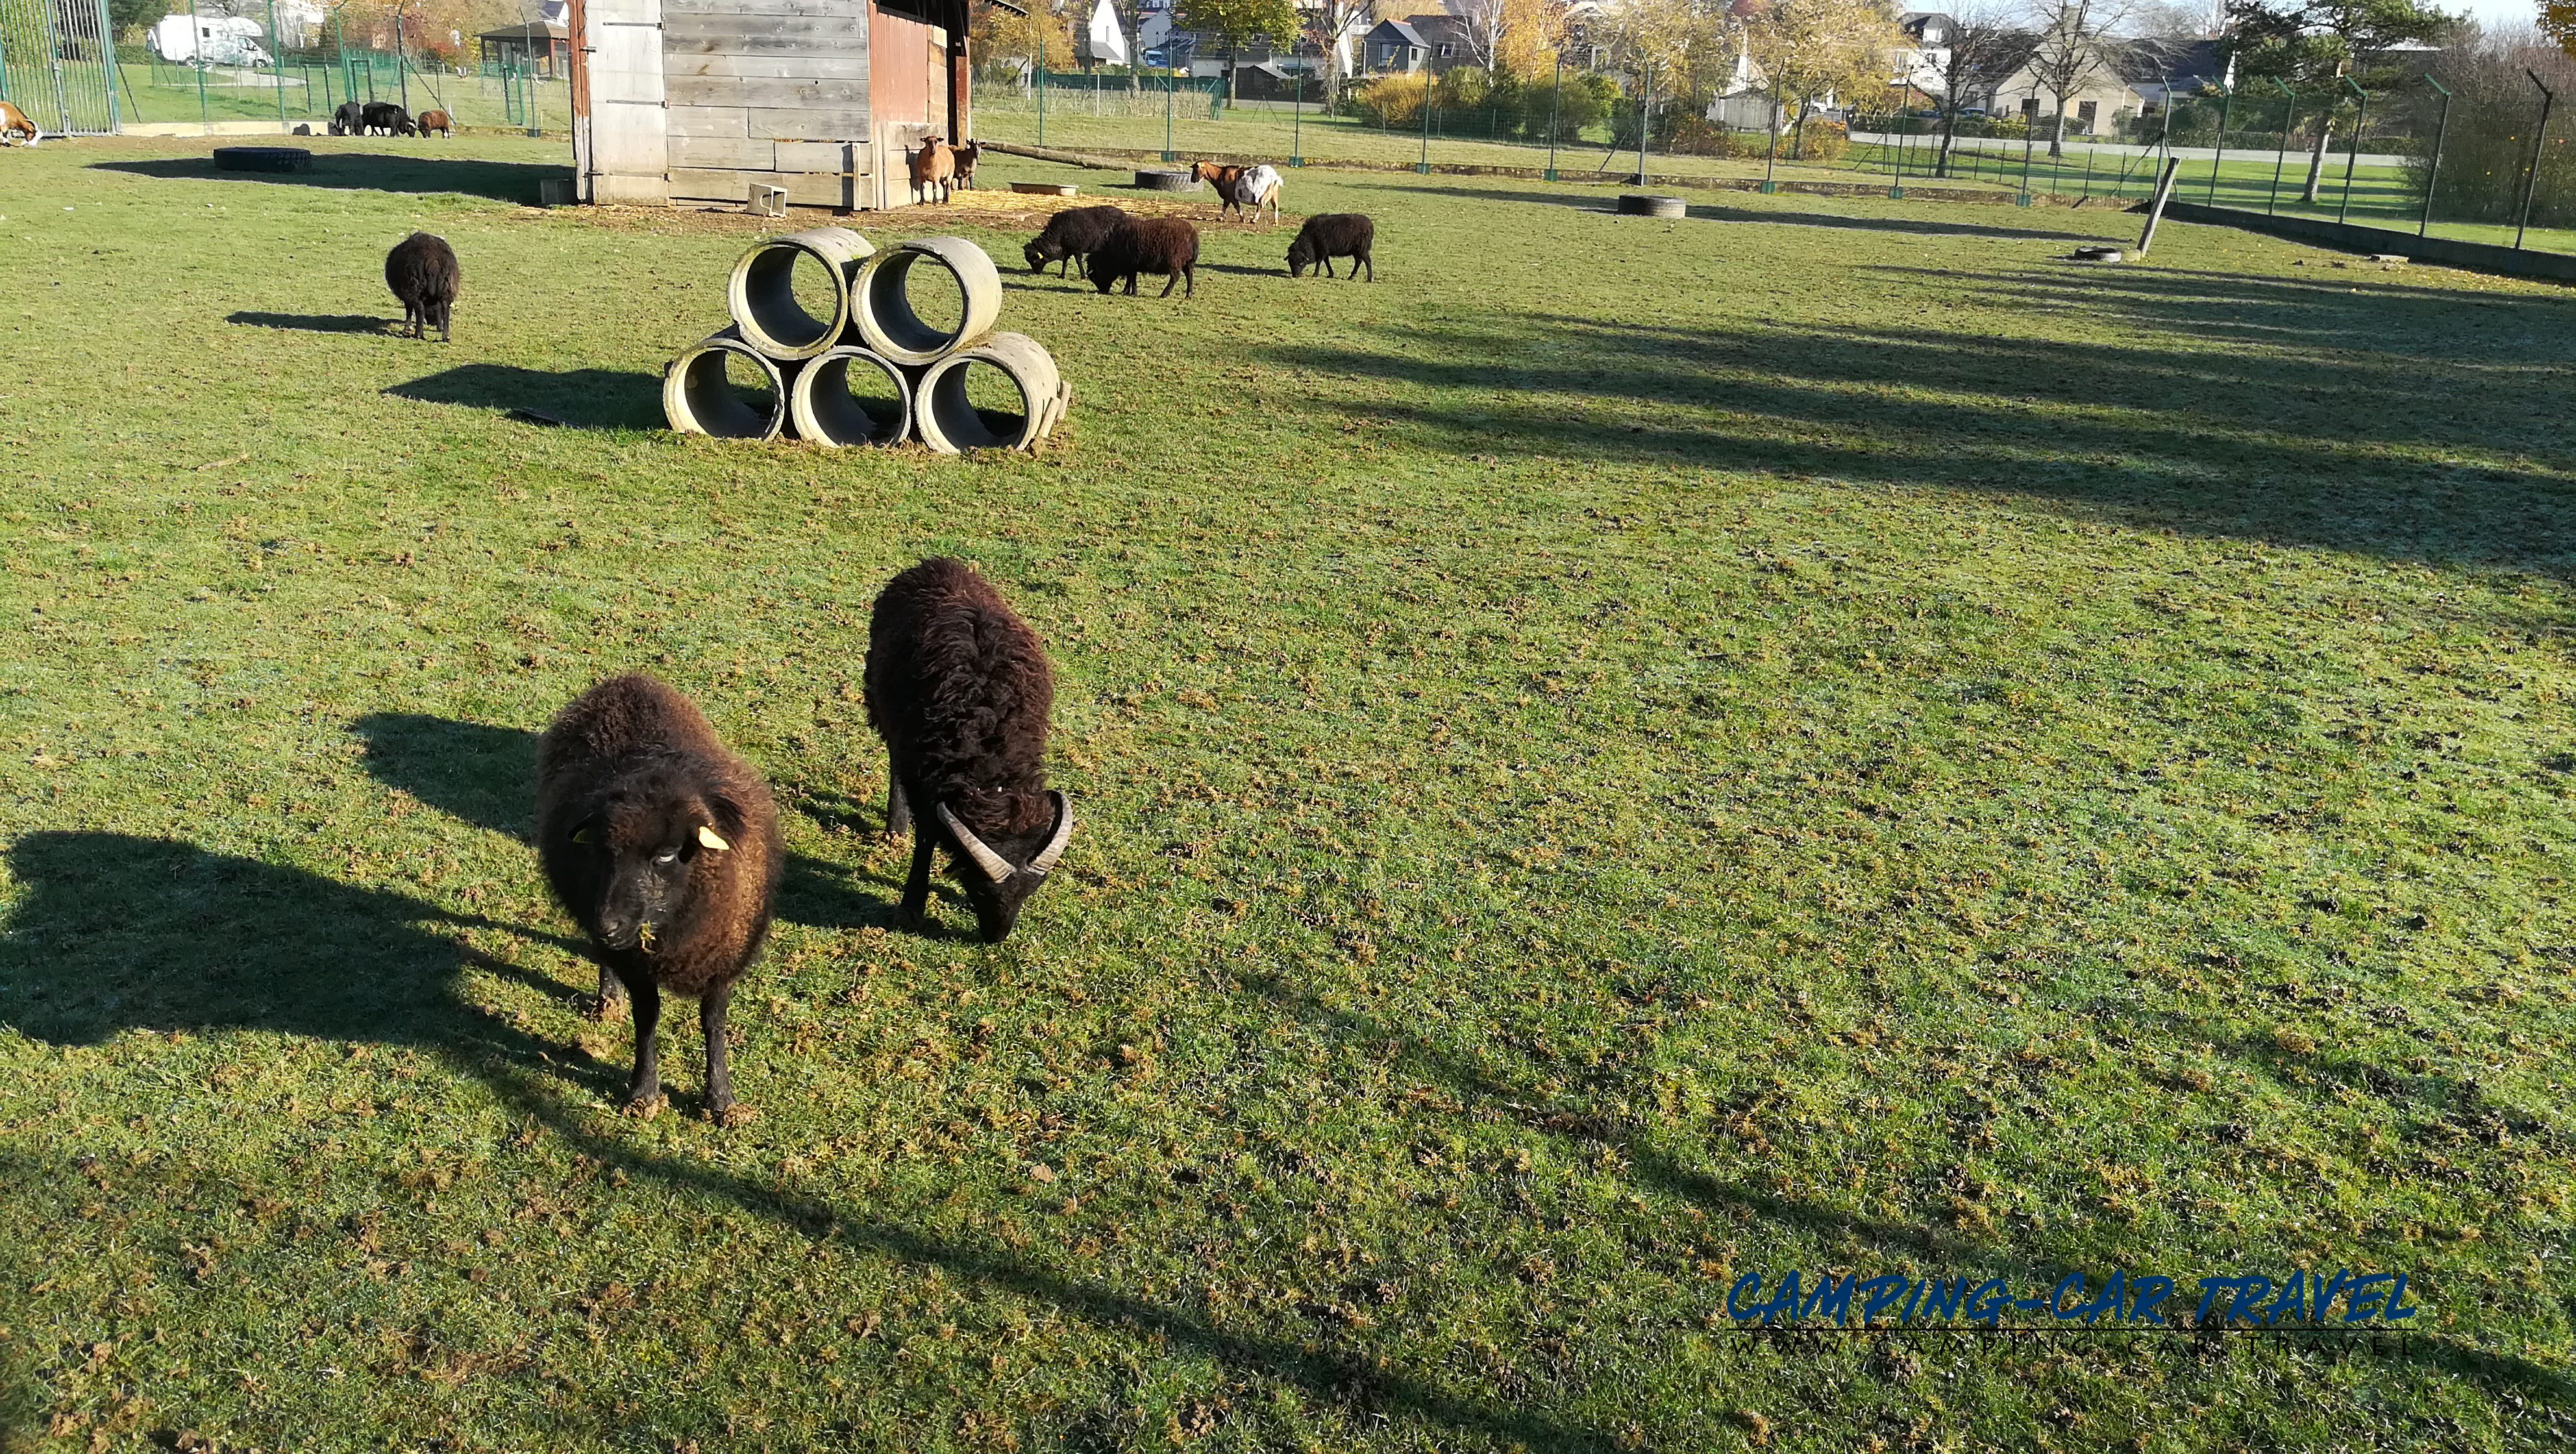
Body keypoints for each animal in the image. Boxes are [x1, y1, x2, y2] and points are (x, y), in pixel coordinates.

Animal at [384, 234, 461, 345]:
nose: (432, 323)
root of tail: (432, 260)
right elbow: (438, 309)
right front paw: (439, 327)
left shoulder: (406, 294)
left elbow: (409, 309)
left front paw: (407, 328)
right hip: (446, 287)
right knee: (446, 309)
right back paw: (446, 336)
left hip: (413, 287)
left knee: (420, 308)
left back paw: (418, 334)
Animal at [538, 674, 778, 1122]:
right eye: (600, 851)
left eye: (666, 855)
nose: (606, 924)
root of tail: (628, 682)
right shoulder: (636, 962)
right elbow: (647, 1018)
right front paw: (643, 1093)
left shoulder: (722, 956)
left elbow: (713, 1023)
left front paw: (721, 1101)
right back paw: (608, 998)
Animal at [1020, 207, 1133, 280]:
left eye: (1034, 261)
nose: (1037, 273)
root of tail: (1126, 216)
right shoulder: (1067, 250)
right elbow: (1065, 262)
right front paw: (1062, 276)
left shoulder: (1077, 248)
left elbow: (1078, 262)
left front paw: (1083, 277)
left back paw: (1123, 278)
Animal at [1092, 215, 1200, 301]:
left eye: (1095, 276)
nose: (1103, 291)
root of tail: (1193, 234)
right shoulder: (1131, 266)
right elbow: (1130, 279)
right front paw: (1125, 292)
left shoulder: (1131, 264)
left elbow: (1132, 279)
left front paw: (1133, 293)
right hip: (1188, 262)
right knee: (1189, 275)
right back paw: (1188, 295)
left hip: (1174, 260)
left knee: (1175, 277)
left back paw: (1164, 294)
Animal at [1283, 211, 1370, 282]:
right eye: (1290, 263)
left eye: (1301, 263)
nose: (1295, 276)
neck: (1310, 239)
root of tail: (1370, 225)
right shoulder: (1325, 250)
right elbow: (1326, 261)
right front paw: (1331, 274)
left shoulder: (1322, 249)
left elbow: (1319, 262)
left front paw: (1315, 274)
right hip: (1356, 250)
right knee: (1358, 262)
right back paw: (1351, 277)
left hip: (1362, 249)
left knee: (1368, 261)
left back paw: (1369, 279)